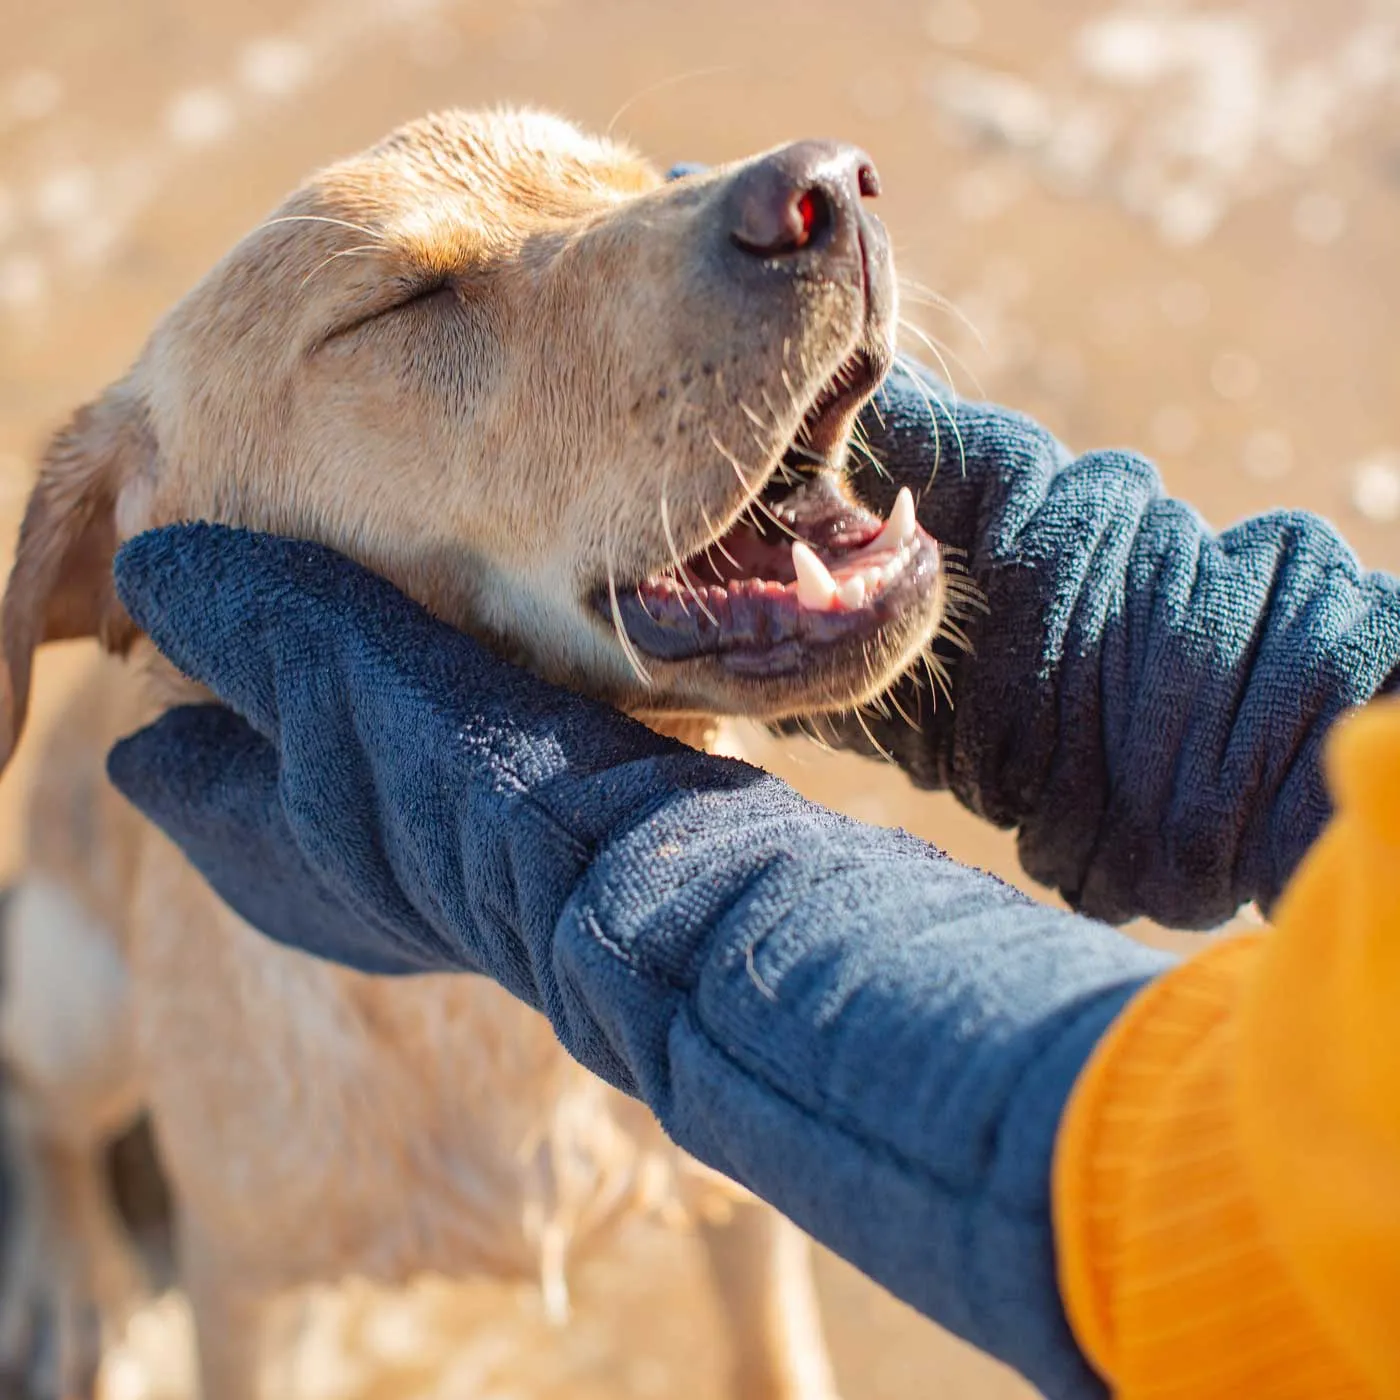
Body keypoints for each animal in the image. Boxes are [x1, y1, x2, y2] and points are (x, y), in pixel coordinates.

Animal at [0, 112, 952, 1400]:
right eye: (400, 303)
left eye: (632, 180)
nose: (826, 187)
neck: (480, 998)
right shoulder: (242, 1289)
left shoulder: (743, 1191)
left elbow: (772, 1355)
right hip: (79, 991)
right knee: (44, 1110)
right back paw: (68, 1278)